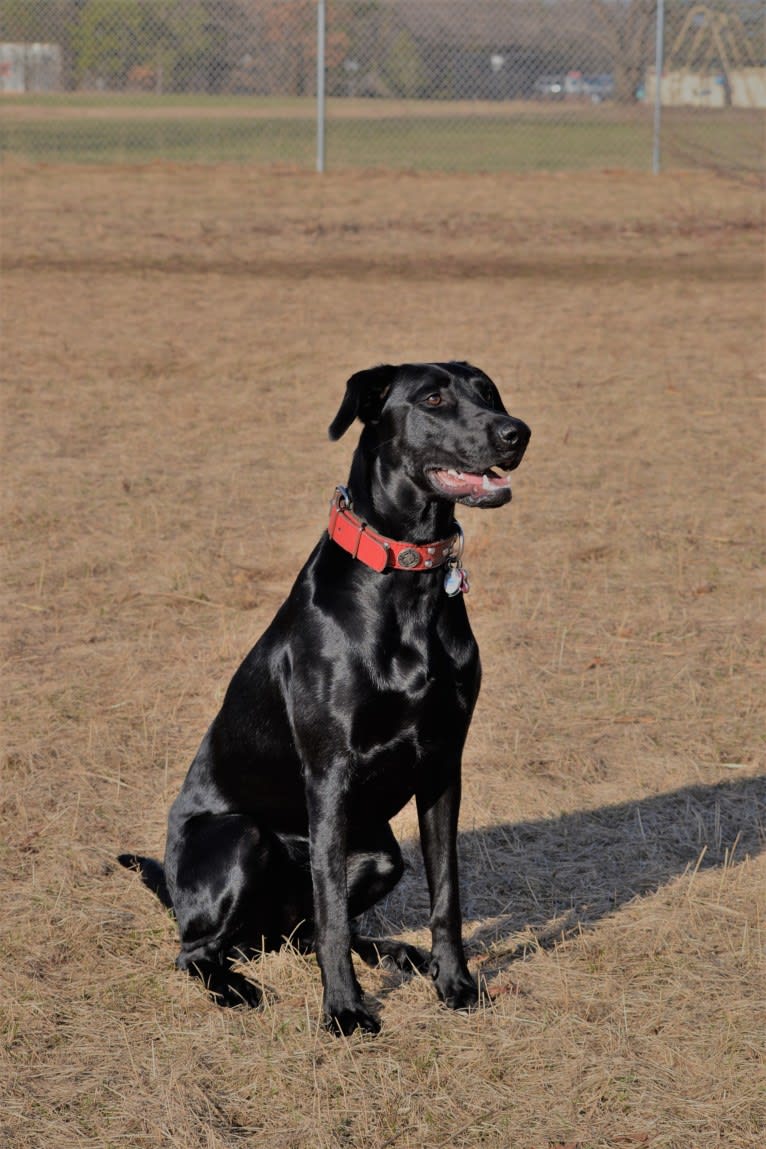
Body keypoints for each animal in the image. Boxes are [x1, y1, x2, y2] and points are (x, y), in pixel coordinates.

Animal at [121, 358, 528, 1034]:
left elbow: (446, 893)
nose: (516, 432)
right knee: (202, 949)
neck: (409, 582)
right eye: (433, 399)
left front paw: (455, 985)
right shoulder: (331, 771)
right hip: (240, 838)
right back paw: (236, 988)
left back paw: (398, 954)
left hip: (382, 855)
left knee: (304, 929)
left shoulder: (444, 764)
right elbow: (333, 910)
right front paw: (344, 1011)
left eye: (489, 392)